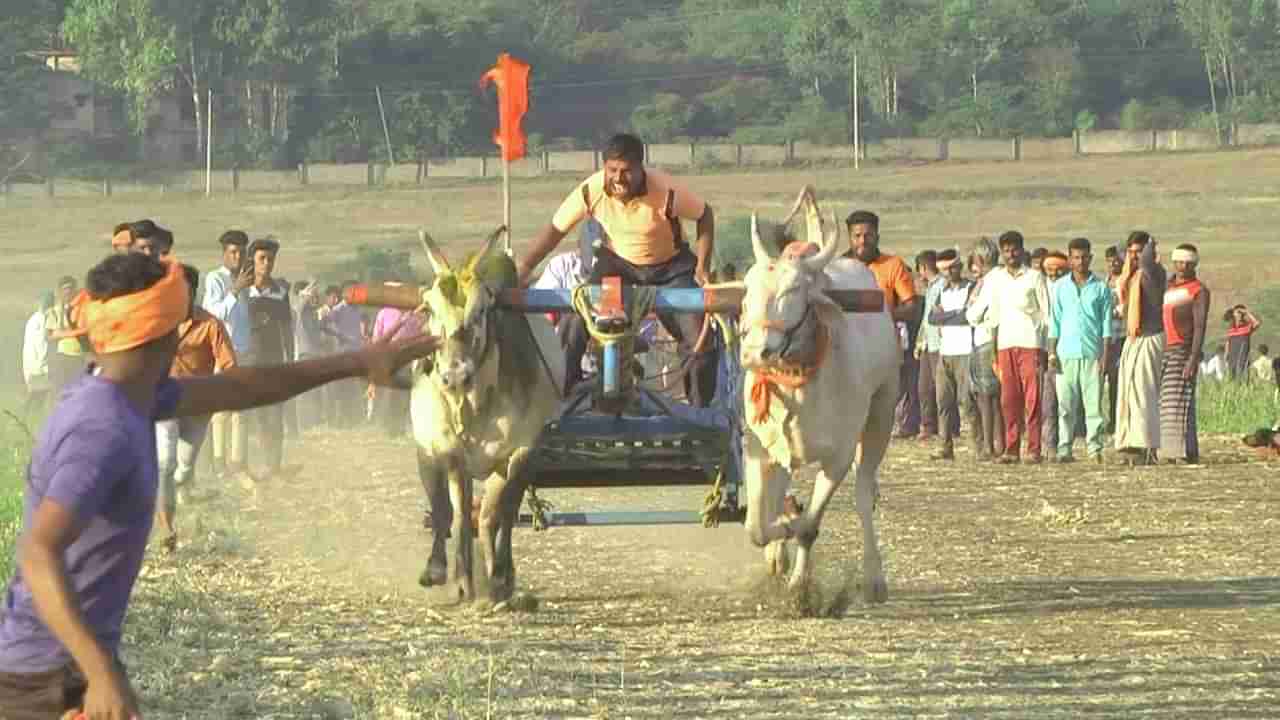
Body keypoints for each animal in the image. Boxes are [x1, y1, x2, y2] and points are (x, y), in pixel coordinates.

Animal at [414, 228, 565, 599]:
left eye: (482, 310)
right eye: (428, 307)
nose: (454, 376)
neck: (472, 404)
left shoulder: (519, 453)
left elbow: (499, 515)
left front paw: (497, 576)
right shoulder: (438, 450)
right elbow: (446, 511)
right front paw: (444, 572)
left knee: (496, 517)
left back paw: (500, 574)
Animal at [737, 188, 906, 602]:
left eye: (793, 289)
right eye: (748, 288)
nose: (753, 353)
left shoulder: (838, 457)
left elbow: (811, 526)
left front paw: (800, 584)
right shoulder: (759, 447)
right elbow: (757, 526)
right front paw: (780, 536)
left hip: (881, 416)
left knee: (863, 495)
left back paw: (873, 577)